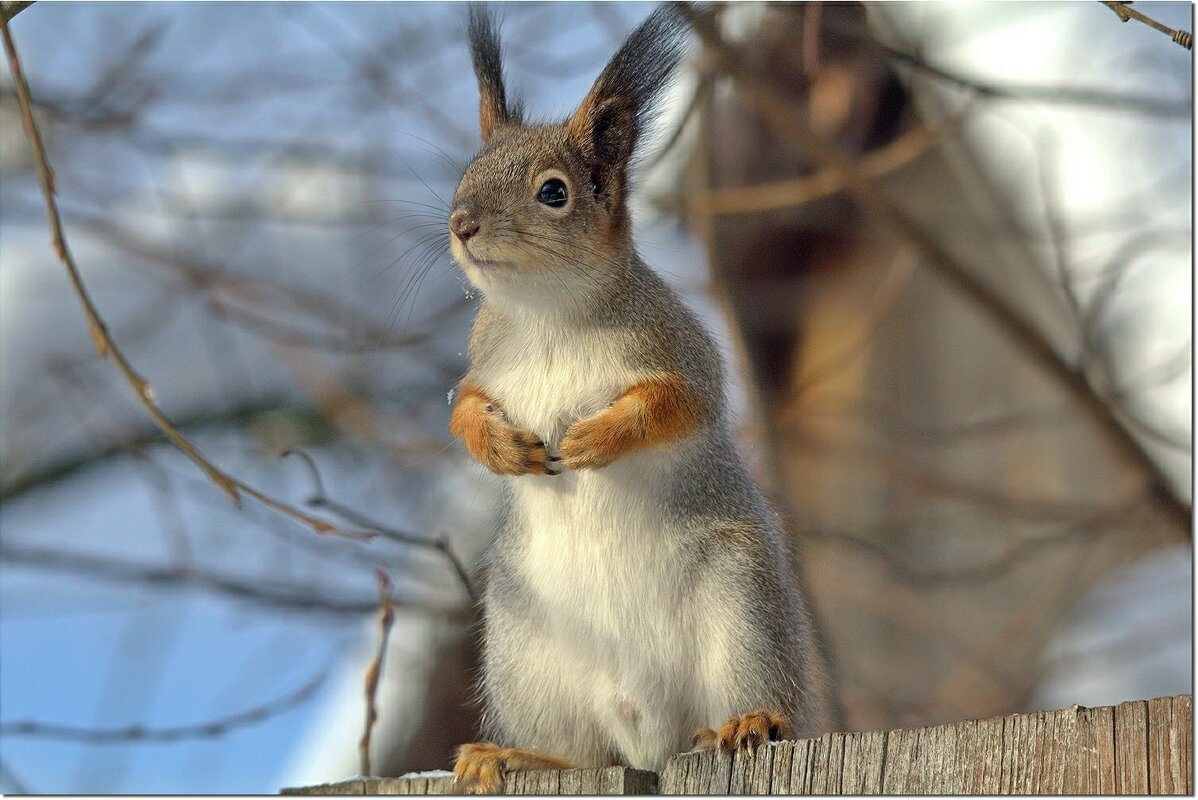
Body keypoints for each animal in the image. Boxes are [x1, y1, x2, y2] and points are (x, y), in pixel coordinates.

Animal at [445, 4, 829, 795]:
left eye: (553, 191)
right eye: (465, 174)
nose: (461, 224)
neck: (547, 315)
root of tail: (650, 739)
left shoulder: (681, 350)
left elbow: (677, 404)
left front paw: (599, 437)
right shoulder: (484, 357)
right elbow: (463, 405)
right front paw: (498, 445)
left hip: (740, 603)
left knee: (750, 694)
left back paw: (748, 722)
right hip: (524, 641)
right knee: (581, 752)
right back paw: (514, 754)